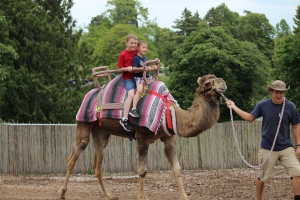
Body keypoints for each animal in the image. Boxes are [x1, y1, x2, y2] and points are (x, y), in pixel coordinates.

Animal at [58, 74, 227, 199]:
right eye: (207, 83)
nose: (223, 83)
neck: (168, 112)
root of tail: (89, 93)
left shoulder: (169, 138)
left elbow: (177, 169)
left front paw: (184, 196)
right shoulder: (142, 138)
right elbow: (142, 170)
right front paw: (142, 197)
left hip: (101, 132)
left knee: (97, 164)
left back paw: (109, 195)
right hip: (84, 122)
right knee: (73, 155)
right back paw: (61, 192)